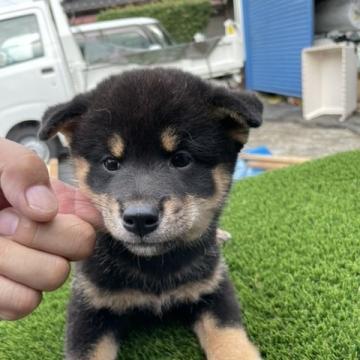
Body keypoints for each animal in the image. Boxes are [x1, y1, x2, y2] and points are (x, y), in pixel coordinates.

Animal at [40, 68, 262, 360]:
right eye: (110, 163)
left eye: (181, 159)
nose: (139, 219)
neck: (154, 270)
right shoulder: (88, 306)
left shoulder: (213, 289)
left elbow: (231, 340)